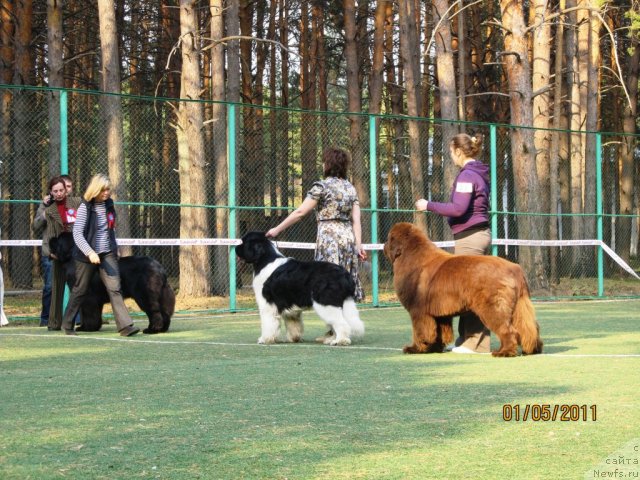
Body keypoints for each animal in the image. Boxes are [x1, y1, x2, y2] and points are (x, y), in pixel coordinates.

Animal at [235, 232, 364, 344]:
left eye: (243, 241)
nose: (236, 247)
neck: (264, 260)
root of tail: (345, 274)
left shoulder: (268, 304)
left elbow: (269, 323)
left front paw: (265, 339)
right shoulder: (289, 305)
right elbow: (293, 323)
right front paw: (294, 338)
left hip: (326, 303)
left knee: (341, 323)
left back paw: (340, 341)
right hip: (344, 302)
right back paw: (331, 339)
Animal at [382, 222, 544, 356]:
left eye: (389, 238)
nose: (383, 245)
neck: (410, 256)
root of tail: (515, 268)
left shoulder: (419, 311)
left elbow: (421, 332)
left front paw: (415, 349)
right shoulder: (438, 313)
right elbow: (438, 333)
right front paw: (433, 349)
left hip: (494, 308)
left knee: (509, 330)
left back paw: (504, 352)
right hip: (519, 307)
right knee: (529, 328)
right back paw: (532, 349)